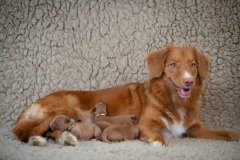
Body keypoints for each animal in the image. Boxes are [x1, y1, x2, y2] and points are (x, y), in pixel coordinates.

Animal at [12, 44, 240, 146]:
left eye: (192, 65)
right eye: (173, 65)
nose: (189, 81)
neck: (174, 100)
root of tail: (31, 105)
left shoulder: (194, 129)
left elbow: (225, 133)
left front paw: (235, 136)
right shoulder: (145, 124)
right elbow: (158, 136)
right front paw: (158, 143)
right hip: (66, 108)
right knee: (46, 130)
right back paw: (53, 139)